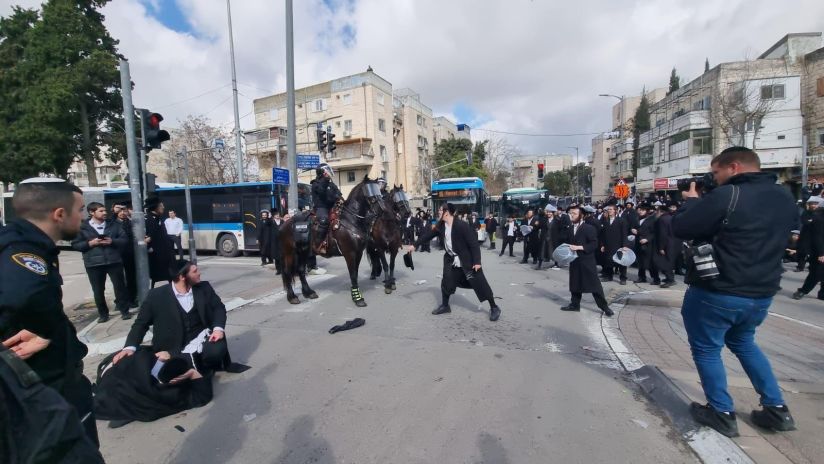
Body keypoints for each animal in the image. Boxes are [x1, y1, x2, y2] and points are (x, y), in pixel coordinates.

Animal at [278, 176, 388, 306]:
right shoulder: (350, 253)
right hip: (290, 253)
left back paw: (308, 292)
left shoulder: (358, 253)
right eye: (369, 190)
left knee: (300, 270)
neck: (350, 220)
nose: (383, 210)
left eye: (378, 189)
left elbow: (355, 272)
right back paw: (292, 297)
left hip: (303, 252)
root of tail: (284, 224)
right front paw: (357, 298)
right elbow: (353, 274)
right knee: (287, 272)